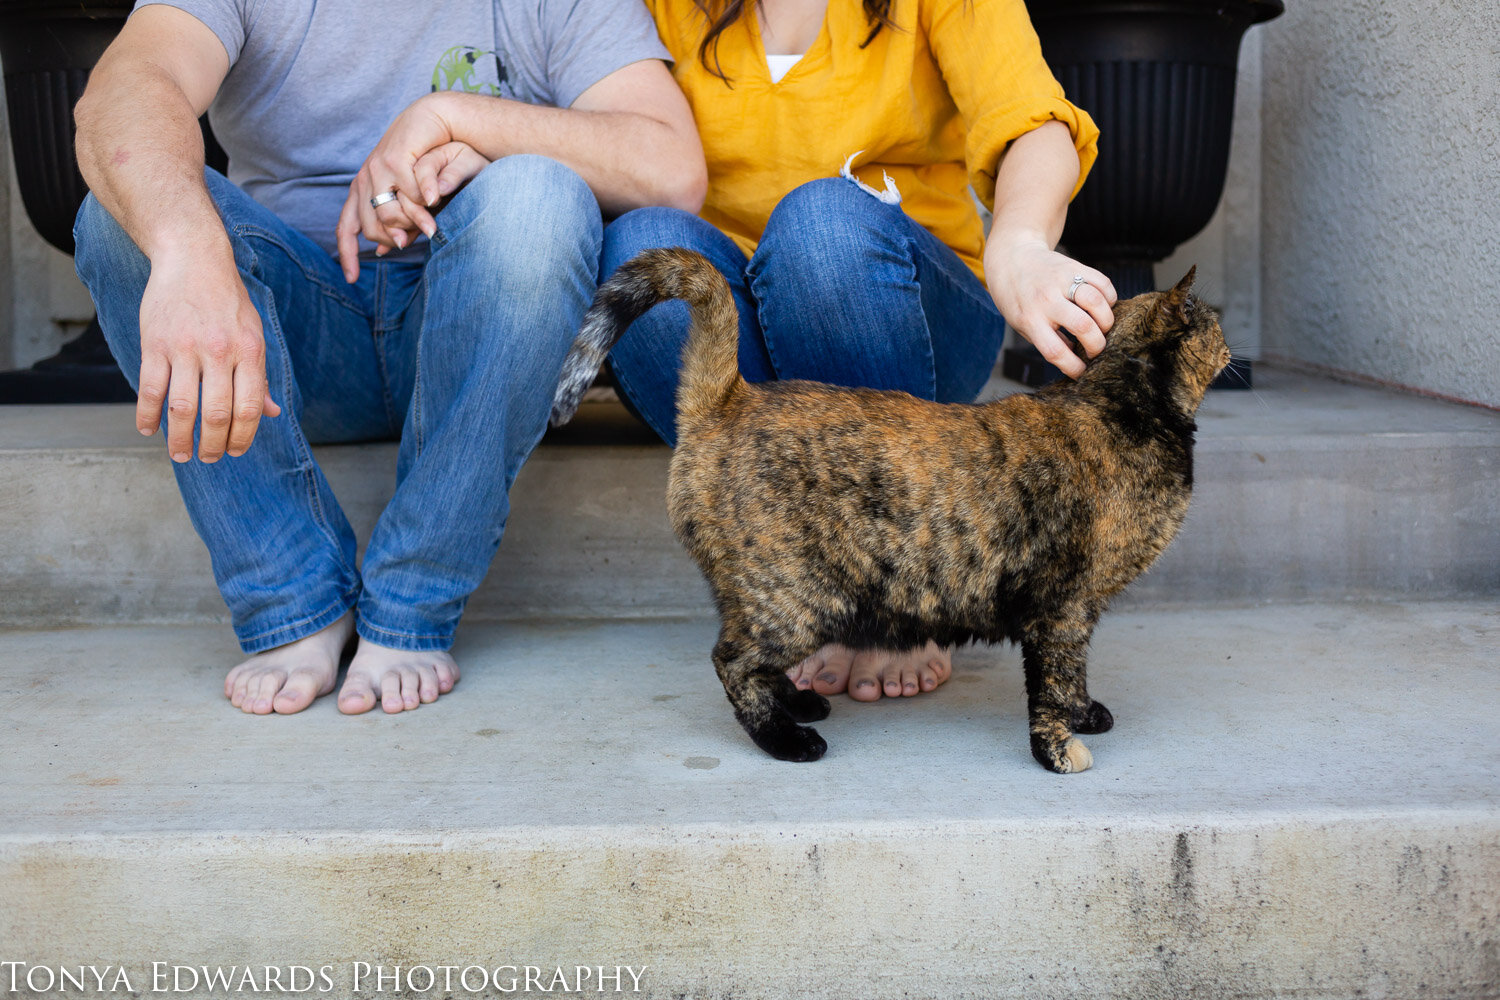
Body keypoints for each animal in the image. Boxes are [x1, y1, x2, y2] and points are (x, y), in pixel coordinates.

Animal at [552, 248, 1230, 773]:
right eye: (1212, 321)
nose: (1230, 338)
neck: (1114, 401)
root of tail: (729, 398)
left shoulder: (1080, 611)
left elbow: (1074, 676)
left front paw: (1084, 715)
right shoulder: (1062, 606)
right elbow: (1054, 682)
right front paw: (1060, 752)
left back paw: (800, 703)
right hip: (795, 598)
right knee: (733, 661)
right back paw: (790, 740)